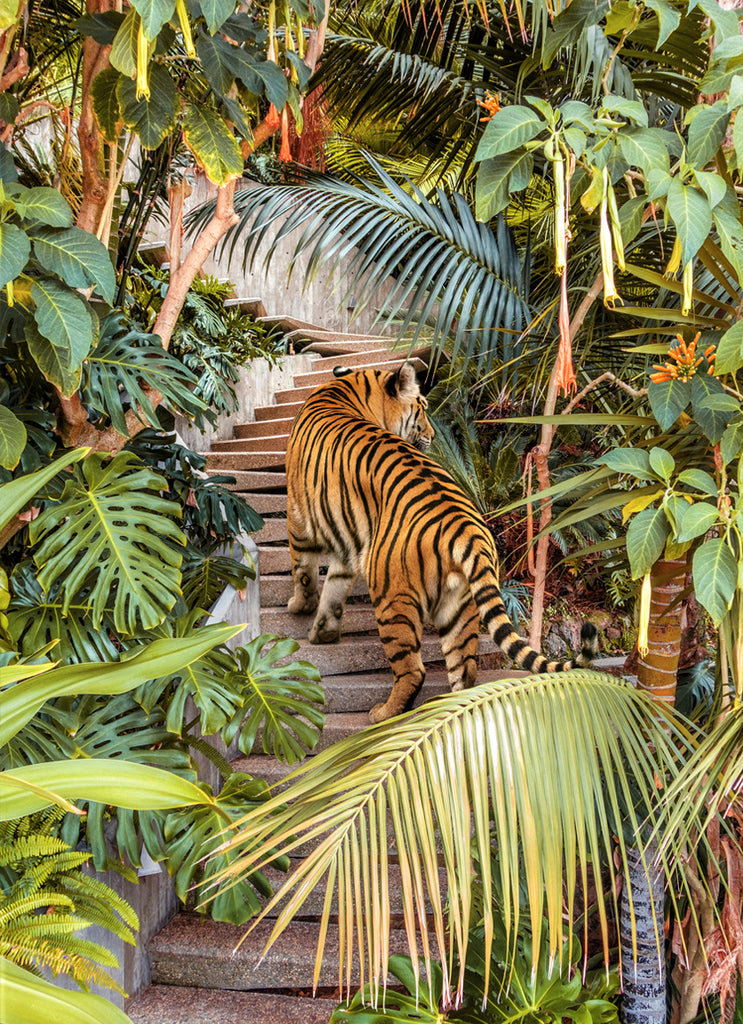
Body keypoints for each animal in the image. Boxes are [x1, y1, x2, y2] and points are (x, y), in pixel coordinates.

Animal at [285, 362, 599, 723]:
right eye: (422, 407)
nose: (434, 436)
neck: (350, 388)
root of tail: (468, 530)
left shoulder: (297, 517)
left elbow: (304, 573)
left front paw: (299, 607)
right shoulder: (346, 542)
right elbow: (334, 589)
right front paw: (322, 632)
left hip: (392, 598)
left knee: (413, 670)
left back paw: (384, 714)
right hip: (460, 609)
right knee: (465, 671)